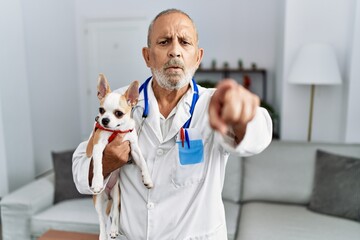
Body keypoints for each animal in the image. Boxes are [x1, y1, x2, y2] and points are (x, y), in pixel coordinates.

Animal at [86, 74, 153, 239]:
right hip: (98, 200)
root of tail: (108, 195)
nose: (104, 120)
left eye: (118, 113)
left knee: (115, 213)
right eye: (101, 110)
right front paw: (97, 181)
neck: (117, 131)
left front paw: (147, 179)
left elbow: (143, 162)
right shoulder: (98, 147)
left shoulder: (133, 148)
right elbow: (98, 165)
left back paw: (114, 230)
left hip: (117, 195)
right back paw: (104, 234)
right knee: (102, 219)